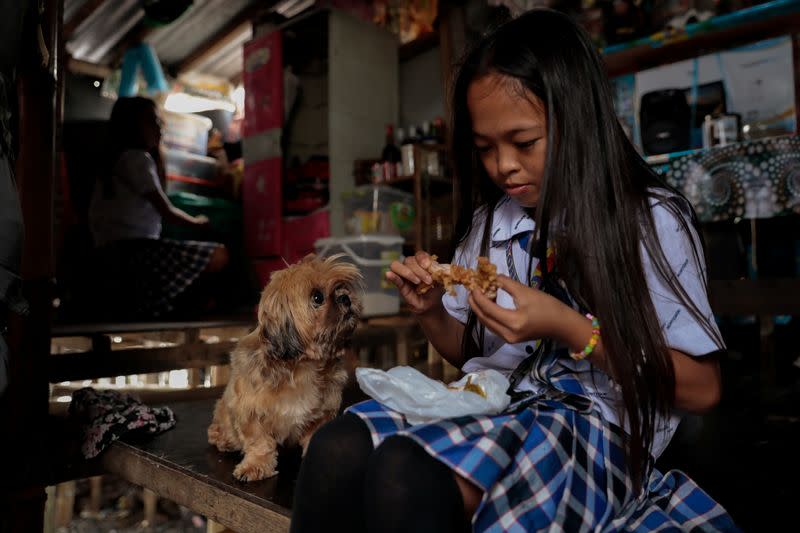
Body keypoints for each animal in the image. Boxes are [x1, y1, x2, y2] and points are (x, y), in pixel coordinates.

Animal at [209, 252, 366, 478]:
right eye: (317, 297)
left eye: (341, 287)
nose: (345, 297)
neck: (303, 367)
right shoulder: (248, 412)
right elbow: (259, 443)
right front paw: (256, 465)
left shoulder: (324, 411)